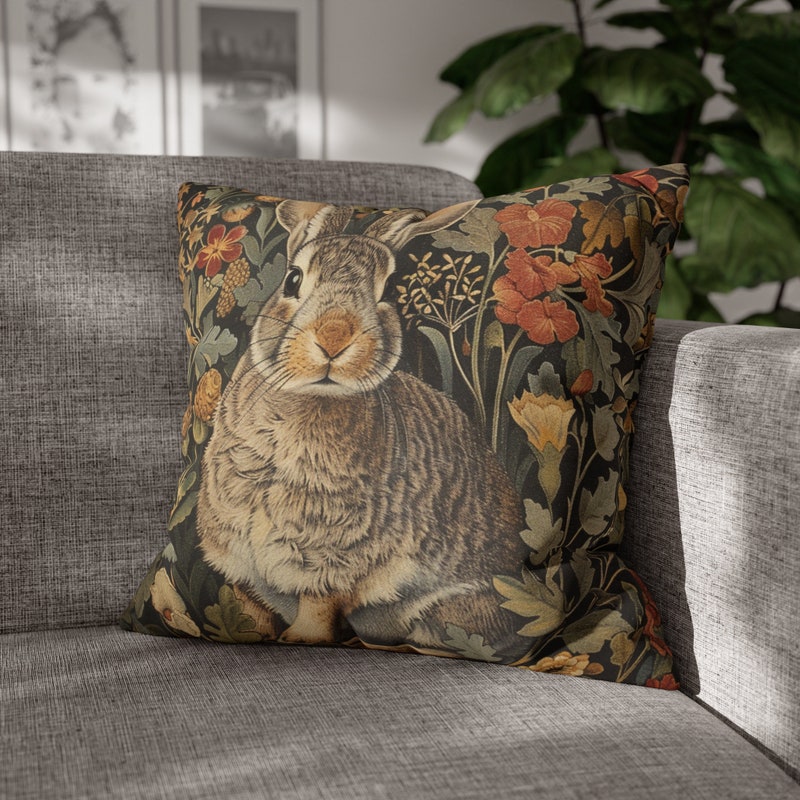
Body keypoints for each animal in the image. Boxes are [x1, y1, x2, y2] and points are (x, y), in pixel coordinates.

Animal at [196, 198, 530, 659]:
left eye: (387, 292)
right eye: (293, 279)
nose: (334, 338)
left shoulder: (333, 559)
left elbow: (317, 610)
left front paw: (300, 639)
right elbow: (252, 609)